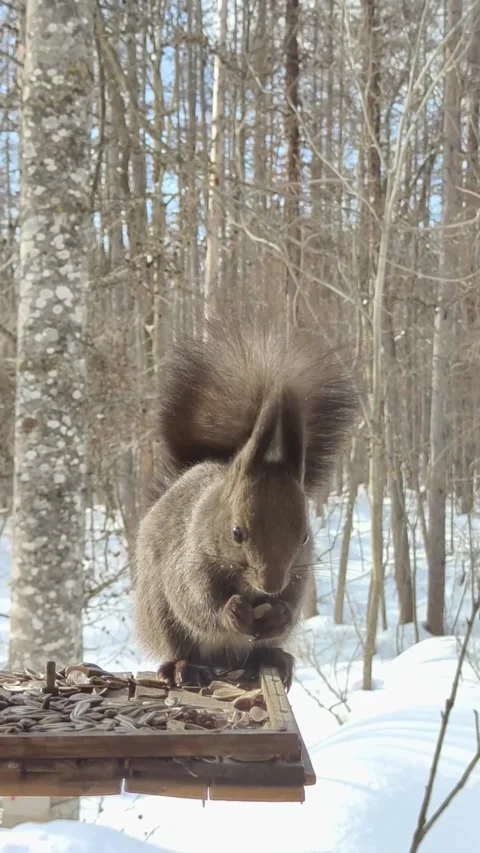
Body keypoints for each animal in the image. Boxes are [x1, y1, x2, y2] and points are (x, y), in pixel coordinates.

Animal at [134, 313, 358, 690]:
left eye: (305, 536)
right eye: (237, 533)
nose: (271, 586)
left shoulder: (300, 570)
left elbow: (294, 600)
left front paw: (281, 612)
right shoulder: (189, 563)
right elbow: (197, 603)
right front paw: (231, 612)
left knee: (260, 651)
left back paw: (272, 658)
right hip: (159, 611)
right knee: (179, 640)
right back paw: (183, 667)